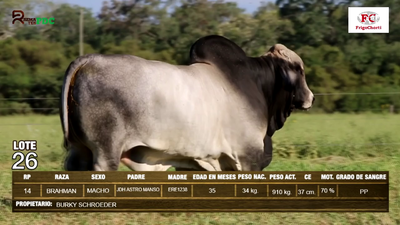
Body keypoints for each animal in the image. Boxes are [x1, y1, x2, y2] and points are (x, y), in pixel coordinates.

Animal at [61, 34, 314, 171]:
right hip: (105, 151)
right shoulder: (248, 155)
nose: (310, 97)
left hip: (79, 148)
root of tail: (88, 60)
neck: (259, 84)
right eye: (300, 70)